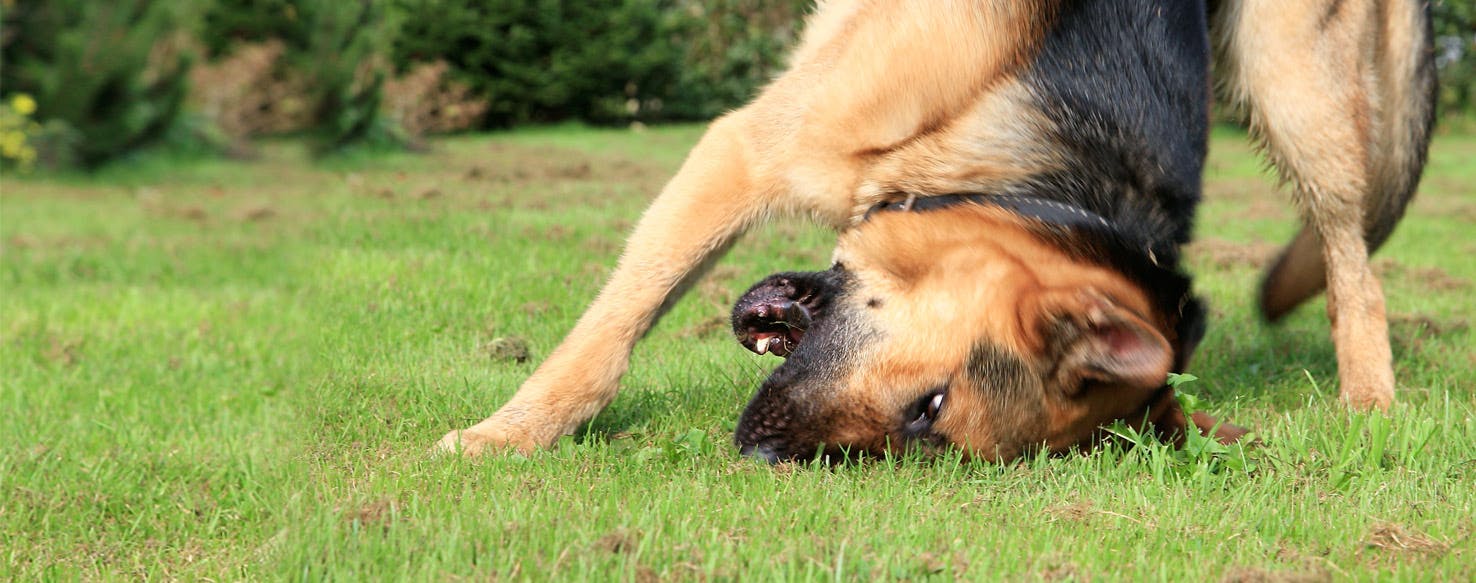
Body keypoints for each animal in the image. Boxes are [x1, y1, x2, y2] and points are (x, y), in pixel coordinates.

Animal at [433, 1, 1428, 466]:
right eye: (931, 404)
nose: (762, 454)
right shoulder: (744, 150)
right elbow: (608, 338)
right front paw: (508, 434)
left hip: (1294, 79)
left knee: (1351, 254)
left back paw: (1369, 402)